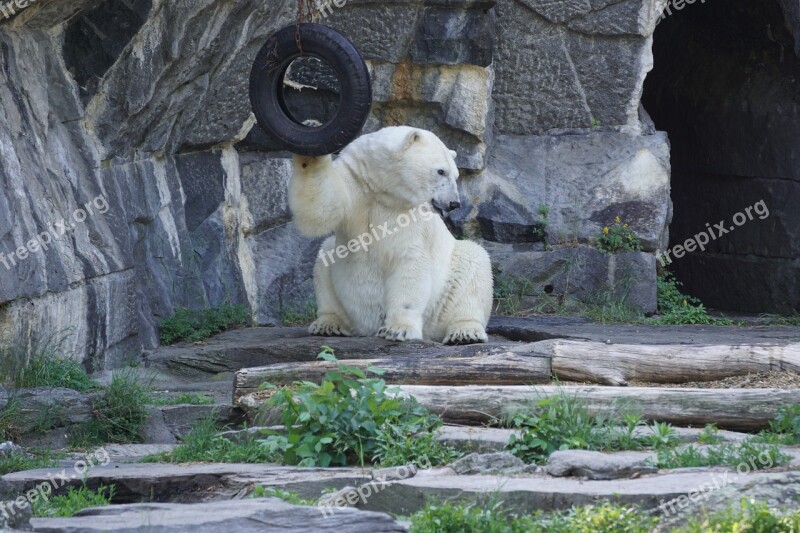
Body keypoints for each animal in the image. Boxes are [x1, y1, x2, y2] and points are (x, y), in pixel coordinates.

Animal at [288, 127, 494, 344]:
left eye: (455, 175)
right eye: (441, 171)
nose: (454, 203)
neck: (381, 189)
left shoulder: (409, 217)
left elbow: (409, 262)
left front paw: (398, 330)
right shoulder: (354, 182)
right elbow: (323, 208)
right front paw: (310, 147)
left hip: (444, 295)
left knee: (474, 265)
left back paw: (465, 333)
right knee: (324, 260)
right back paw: (328, 324)